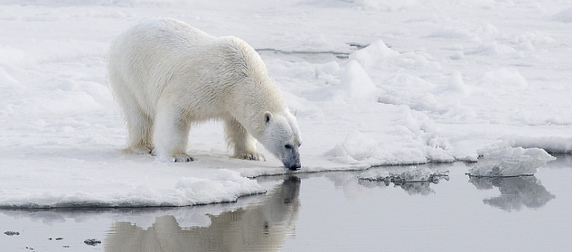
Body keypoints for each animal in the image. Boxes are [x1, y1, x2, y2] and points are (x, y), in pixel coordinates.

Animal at [109, 17, 302, 170]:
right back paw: (143, 147)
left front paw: (252, 155)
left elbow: (239, 126)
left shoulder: (234, 100)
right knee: (138, 114)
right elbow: (174, 113)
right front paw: (180, 156)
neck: (241, 76)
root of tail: (125, 33)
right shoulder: (201, 84)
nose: (296, 165)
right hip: (130, 74)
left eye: (299, 143)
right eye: (287, 145)